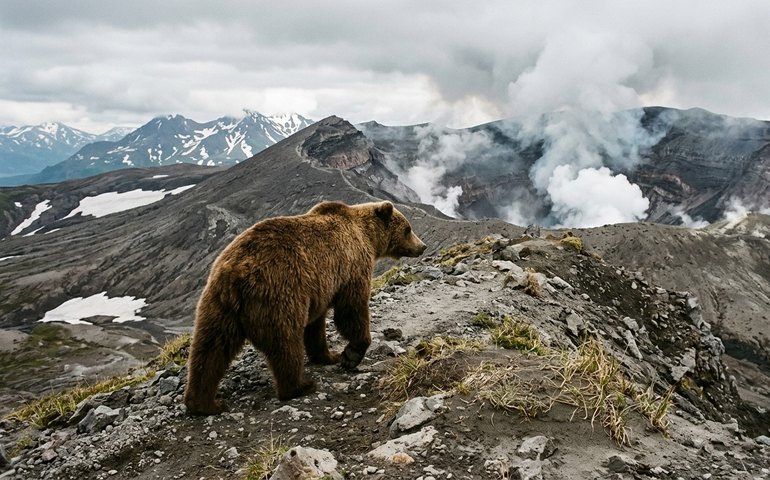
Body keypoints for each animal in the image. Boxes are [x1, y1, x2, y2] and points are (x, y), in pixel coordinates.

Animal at [184, 200, 427, 415]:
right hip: (279, 292)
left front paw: (329, 355)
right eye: (408, 229)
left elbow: (316, 326)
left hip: (218, 305)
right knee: (285, 342)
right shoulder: (351, 266)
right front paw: (350, 354)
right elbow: (351, 309)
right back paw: (299, 386)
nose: (422, 246)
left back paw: (204, 404)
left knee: (210, 349)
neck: (367, 237)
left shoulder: (319, 289)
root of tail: (236, 272)